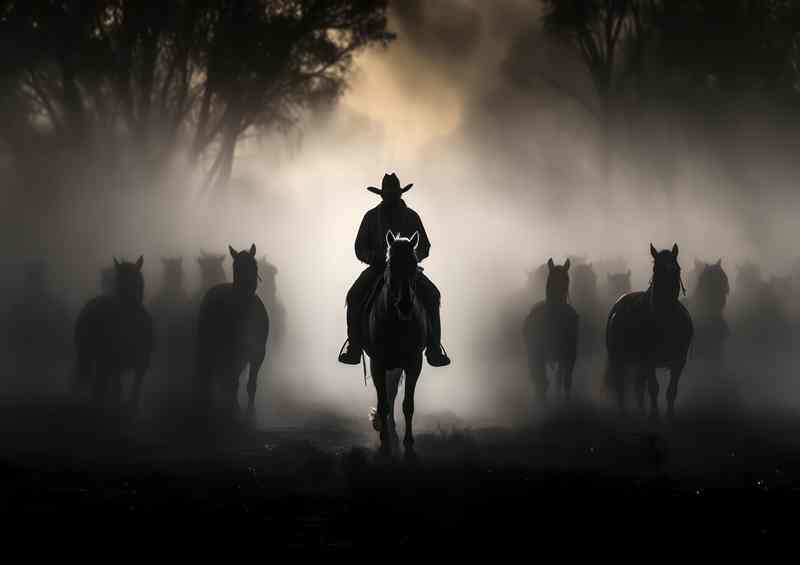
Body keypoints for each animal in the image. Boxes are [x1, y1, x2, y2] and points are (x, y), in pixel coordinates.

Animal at [74, 256, 154, 414]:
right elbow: (118, 390)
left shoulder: (141, 365)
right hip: (94, 359)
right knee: (99, 386)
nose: (129, 302)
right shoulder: (115, 364)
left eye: (137, 279)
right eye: (119, 280)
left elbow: (135, 393)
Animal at [195, 243, 270, 424]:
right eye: (236, 266)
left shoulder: (258, 353)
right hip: (209, 346)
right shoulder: (233, 352)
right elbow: (233, 382)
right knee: (210, 373)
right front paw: (235, 412)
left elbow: (251, 385)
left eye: (254, 264)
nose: (247, 287)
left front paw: (250, 415)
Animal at [360, 231, 424, 456]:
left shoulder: (414, 363)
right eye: (391, 265)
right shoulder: (378, 363)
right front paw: (385, 444)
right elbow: (383, 403)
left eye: (414, 264)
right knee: (387, 396)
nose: (405, 305)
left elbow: (407, 404)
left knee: (393, 392)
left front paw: (409, 444)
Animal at [520, 258, 580, 398]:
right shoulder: (537, 357)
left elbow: (566, 382)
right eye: (552, 278)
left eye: (566, 278)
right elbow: (541, 383)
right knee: (539, 380)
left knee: (558, 379)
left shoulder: (569, 356)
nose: (559, 298)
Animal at [608, 243, 692, 418]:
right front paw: (654, 415)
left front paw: (670, 415)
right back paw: (623, 413)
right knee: (620, 386)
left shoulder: (678, 363)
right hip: (617, 360)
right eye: (656, 268)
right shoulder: (649, 361)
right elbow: (654, 388)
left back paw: (641, 411)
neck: (664, 323)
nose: (667, 296)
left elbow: (671, 391)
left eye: (677, 269)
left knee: (639, 387)